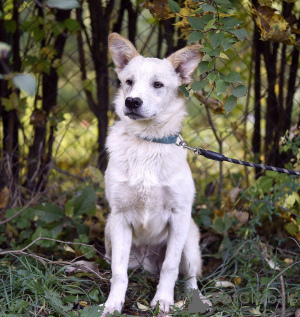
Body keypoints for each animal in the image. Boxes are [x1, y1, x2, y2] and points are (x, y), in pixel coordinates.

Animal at [102, 33, 207, 314]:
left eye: (158, 84)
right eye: (129, 82)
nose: (131, 102)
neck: (147, 142)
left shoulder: (179, 215)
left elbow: (170, 268)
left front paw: (163, 301)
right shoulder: (119, 217)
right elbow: (118, 273)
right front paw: (113, 304)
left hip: (189, 239)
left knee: (189, 277)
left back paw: (197, 299)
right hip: (109, 232)